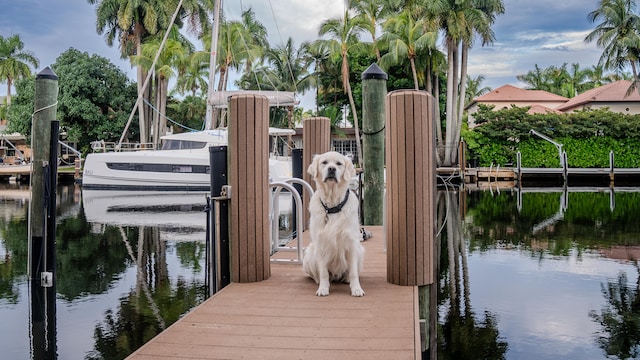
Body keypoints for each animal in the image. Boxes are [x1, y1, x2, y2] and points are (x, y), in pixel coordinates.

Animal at [302, 150, 364, 296]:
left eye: (339, 164)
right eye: (324, 162)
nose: (331, 169)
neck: (332, 206)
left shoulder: (352, 243)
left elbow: (353, 272)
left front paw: (356, 289)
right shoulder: (321, 243)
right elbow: (324, 272)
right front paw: (323, 288)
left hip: (360, 251)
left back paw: (346, 279)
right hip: (309, 254)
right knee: (316, 274)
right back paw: (318, 281)